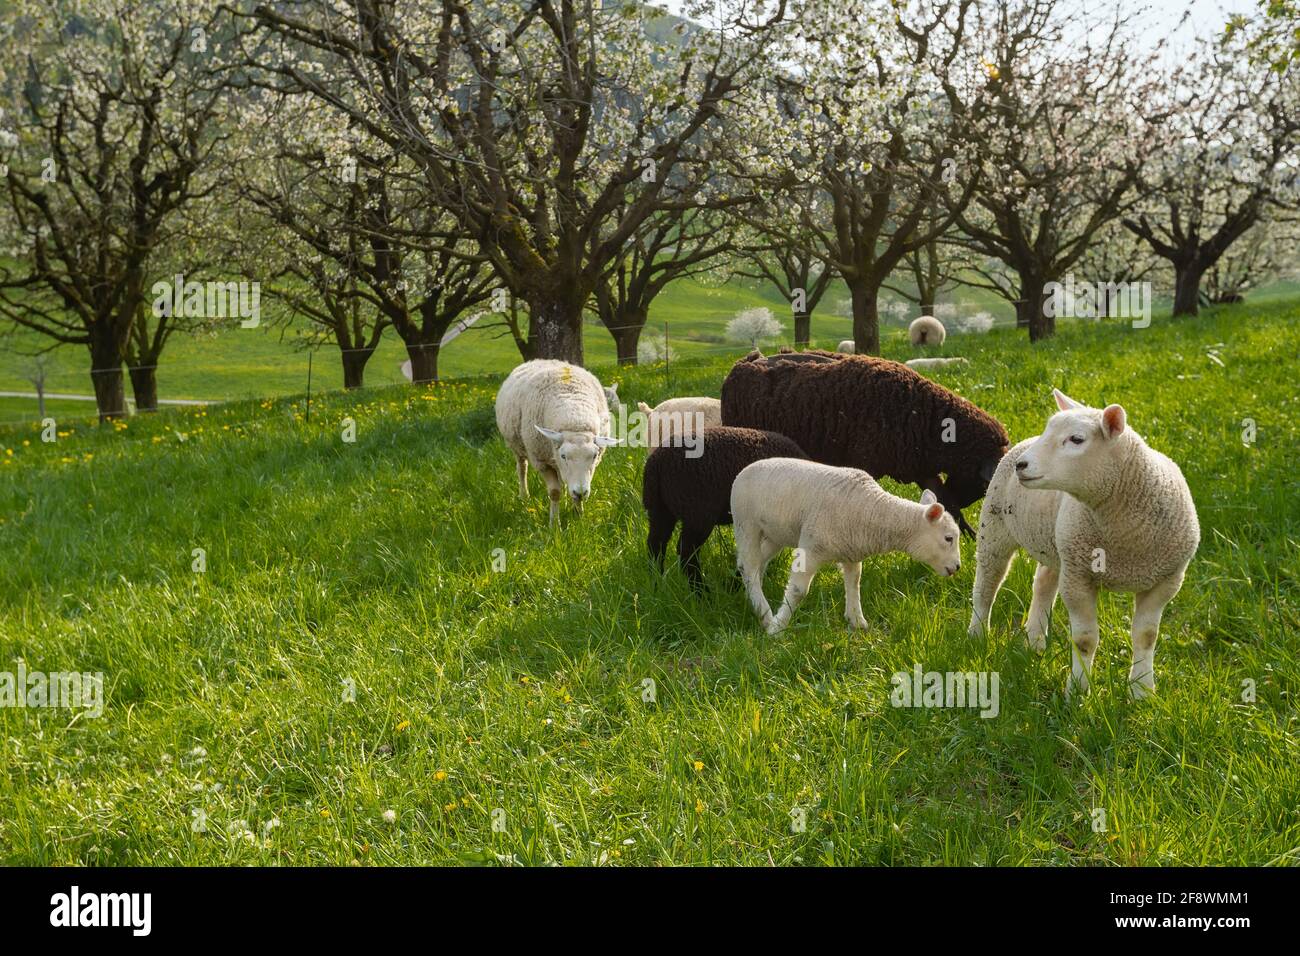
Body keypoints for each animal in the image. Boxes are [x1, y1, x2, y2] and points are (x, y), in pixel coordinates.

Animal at [494, 359, 620, 526]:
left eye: (594, 456)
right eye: (564, 456)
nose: (580, 493)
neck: (574, 418)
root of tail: (537, 360)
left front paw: (579, 517)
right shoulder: (542, 461)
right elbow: (554, 492)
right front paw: (554, 524)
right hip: (517, 447)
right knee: (522, 468)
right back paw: (524, 496)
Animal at [642, 426, 808, 589]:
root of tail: (656, 463)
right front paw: (735, 584)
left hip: (660, 509)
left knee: (656, 545)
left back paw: (656, 585)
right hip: (697, 512)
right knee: (686, 551)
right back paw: (701, 591)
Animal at [720, 350, 1009, 538]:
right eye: (985, 483)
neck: (926, 418)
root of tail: (743, 363)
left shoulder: (922, 468)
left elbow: (948, 504)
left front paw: (970, 538)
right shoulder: (867, 464)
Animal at [731, 459, 962, 634]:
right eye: (948, 538)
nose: (958, 567)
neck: (874, 509)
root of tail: (744, 470)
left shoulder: (851, 551)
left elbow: (854, 582)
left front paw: (857, 621)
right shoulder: (811, 546)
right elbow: (798, 591)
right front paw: (777, 628)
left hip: (775, 535)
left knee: (753, 564)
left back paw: (756, 605)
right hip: (746, 524)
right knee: (749, 567)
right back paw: (765, 614)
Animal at [968, 389, 1200, 699]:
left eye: (1076, 439)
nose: (1022, 466)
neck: (1126, 535)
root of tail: (1023, 441)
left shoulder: (1167, 580)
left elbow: (1146, 636)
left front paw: (1142, 690)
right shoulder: (1078, 577)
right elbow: (1085, 639)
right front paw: (1078, 691)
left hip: (1057, 545)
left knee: (1043, 583)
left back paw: (1035, 640)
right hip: (995, 530)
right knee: (987, 585)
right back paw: (977, 634)